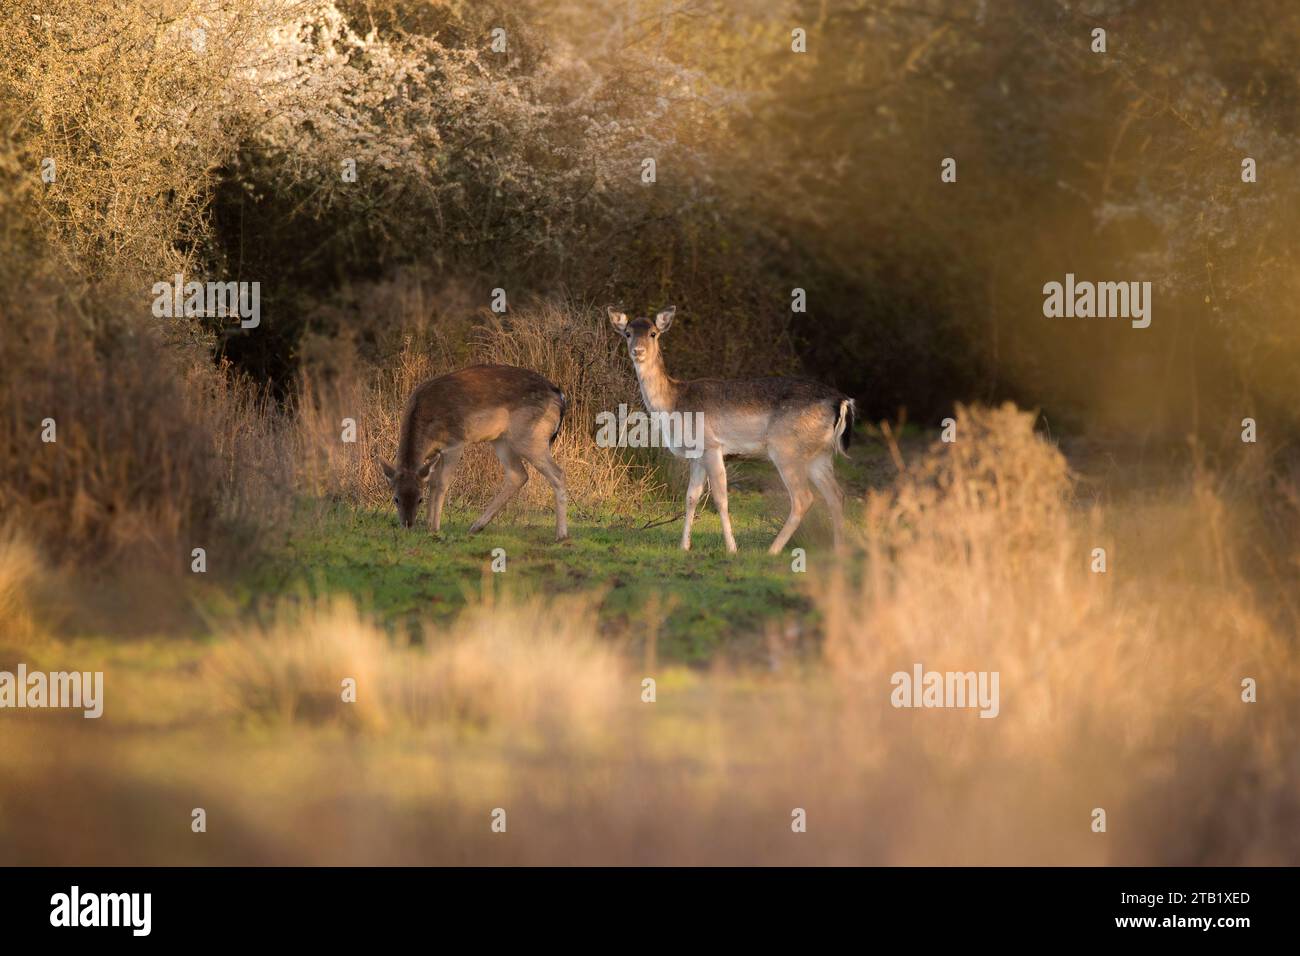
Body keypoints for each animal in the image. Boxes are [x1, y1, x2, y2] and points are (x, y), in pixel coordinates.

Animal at [382, 361, 572, 538]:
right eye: (396, 498)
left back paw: (561, 534)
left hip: (530, 436)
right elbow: (433, 481)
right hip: (501, 439)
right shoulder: (439, 452)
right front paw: (428, 524)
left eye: (419, 499)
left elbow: (442, 482)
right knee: (518, 474)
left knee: (558, 473)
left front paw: (434, 527)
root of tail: (560, 396)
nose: (407, 524)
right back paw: (476, 526)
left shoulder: (455, 442)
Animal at [608, 306, 852, 554]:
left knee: (803, 498)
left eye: (653, 334)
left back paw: (772, 550)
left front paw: (732, 548)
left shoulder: (711, 445)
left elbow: (720, 498)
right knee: (836, 495)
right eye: (627, 333)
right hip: (819, 455)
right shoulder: (696, 454)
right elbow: (691, 497)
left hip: (786, 448)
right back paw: (839, 551)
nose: (637, 351)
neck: (673, 404)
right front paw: (684, 546)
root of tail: (841, 401)